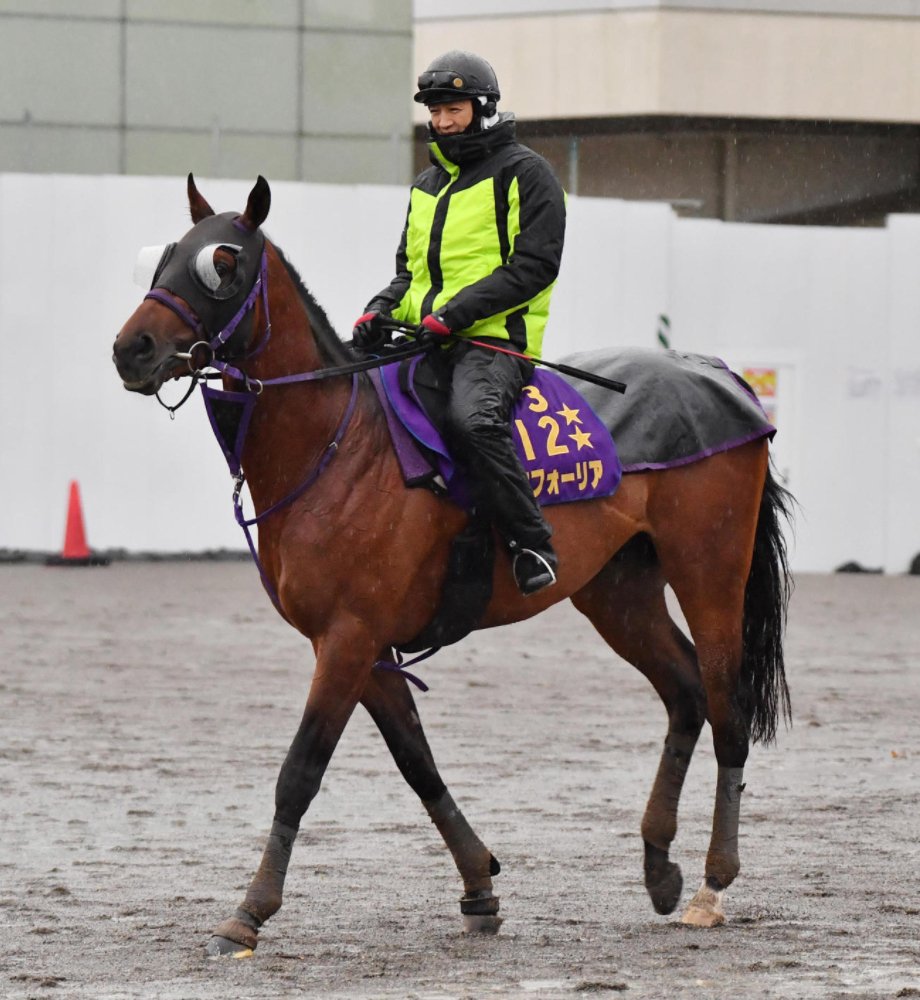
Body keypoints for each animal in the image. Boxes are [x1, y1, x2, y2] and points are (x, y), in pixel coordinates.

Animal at [112, 175, 793, 958]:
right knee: (683, 691)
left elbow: (300, 772)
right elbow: (417, 763)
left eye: (221, 263)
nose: (131, 348)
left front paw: (249, 911)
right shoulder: (363, 647)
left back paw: (714, 883)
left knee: (725, 700)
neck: (340, 443)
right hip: (617, 589)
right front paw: (479, 886)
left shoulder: (349, 637)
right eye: (166, 253)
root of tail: (718, 374)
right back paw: (658, 864)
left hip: (710, 568)